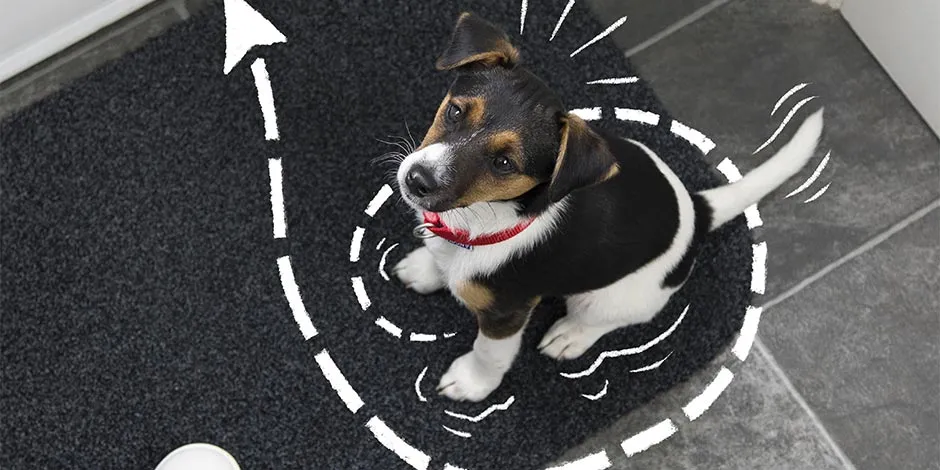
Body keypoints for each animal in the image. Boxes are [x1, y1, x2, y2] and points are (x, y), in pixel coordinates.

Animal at [392, 12, 828, 402]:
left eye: (504, 164)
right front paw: (426, 267)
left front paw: (471, 384)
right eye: (455, 111)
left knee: (603, 320)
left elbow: (489, 354)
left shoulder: (507, 311)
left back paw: (570, 334)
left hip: (610, 297)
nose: (417, 180)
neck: (481, 218)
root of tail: (696, 211)